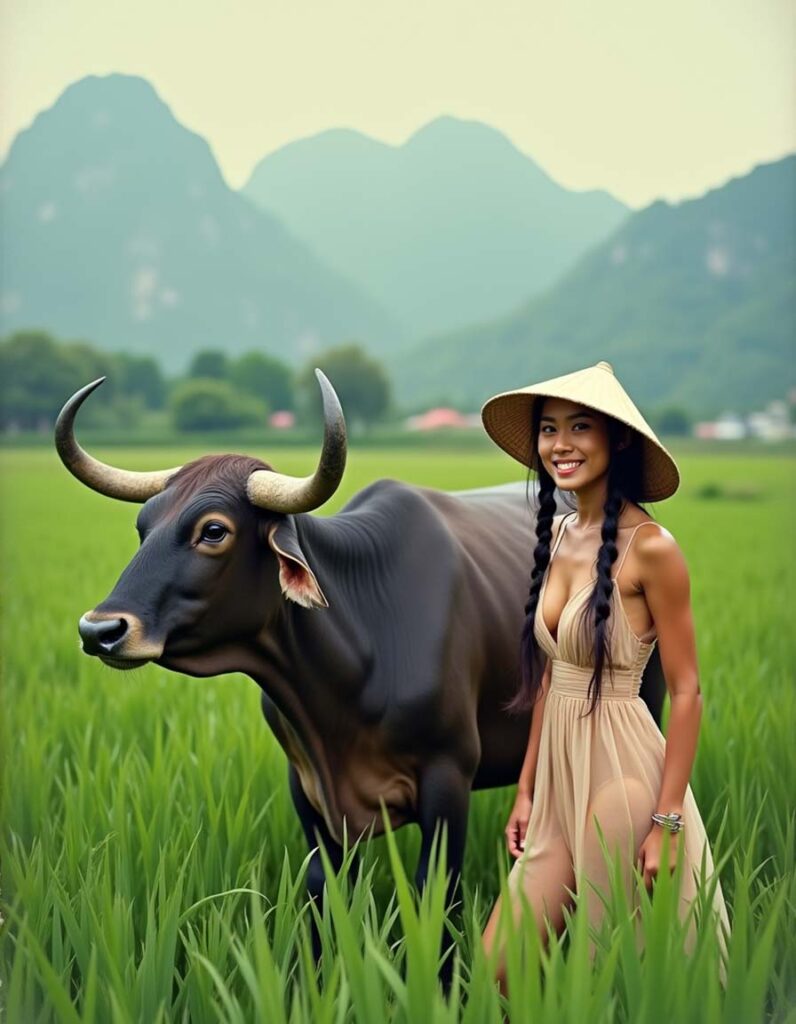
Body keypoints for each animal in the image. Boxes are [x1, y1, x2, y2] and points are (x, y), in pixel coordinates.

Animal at [55, 372, 663, 954]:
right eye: (143, 527)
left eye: (214, 530)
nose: (100, 629)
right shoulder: (307, 790)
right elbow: (323, 894)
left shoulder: (448, 778)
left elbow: (434, 897)